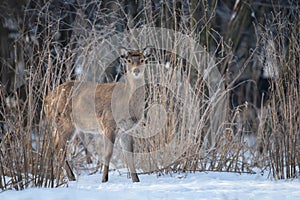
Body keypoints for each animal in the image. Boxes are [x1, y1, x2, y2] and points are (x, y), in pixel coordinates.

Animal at [44, 46, 152, 182]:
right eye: (128, 60)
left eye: (142, 60)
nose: (136, 70)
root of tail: (46, 99)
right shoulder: (108, 123)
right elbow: (108, 153)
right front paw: (104, 179)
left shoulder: (127, 129)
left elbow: (129, 154)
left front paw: (136, 180)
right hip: (64, 121)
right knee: (59, 147)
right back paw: (71, 177)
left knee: (55, 146)